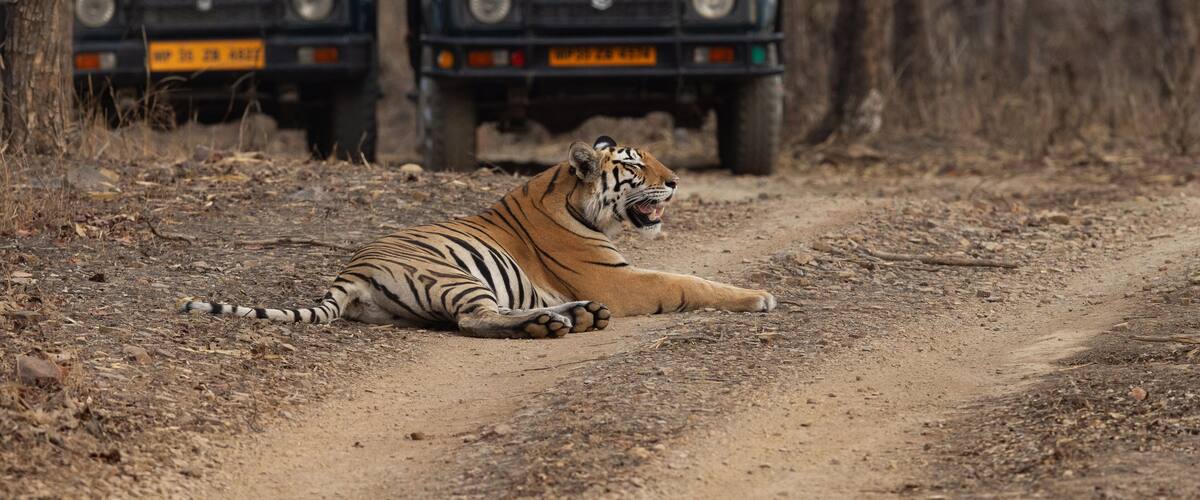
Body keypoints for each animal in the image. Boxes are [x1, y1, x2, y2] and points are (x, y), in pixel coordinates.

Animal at [181, 136, 776, 338]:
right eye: (635, 164)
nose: (675, 182)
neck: (568, 194)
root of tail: (349, 273)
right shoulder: (622, 282)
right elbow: (689, 281)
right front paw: (760, 296)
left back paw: (576, 316)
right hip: (453, 274)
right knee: (475, 319)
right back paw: (554, 323)